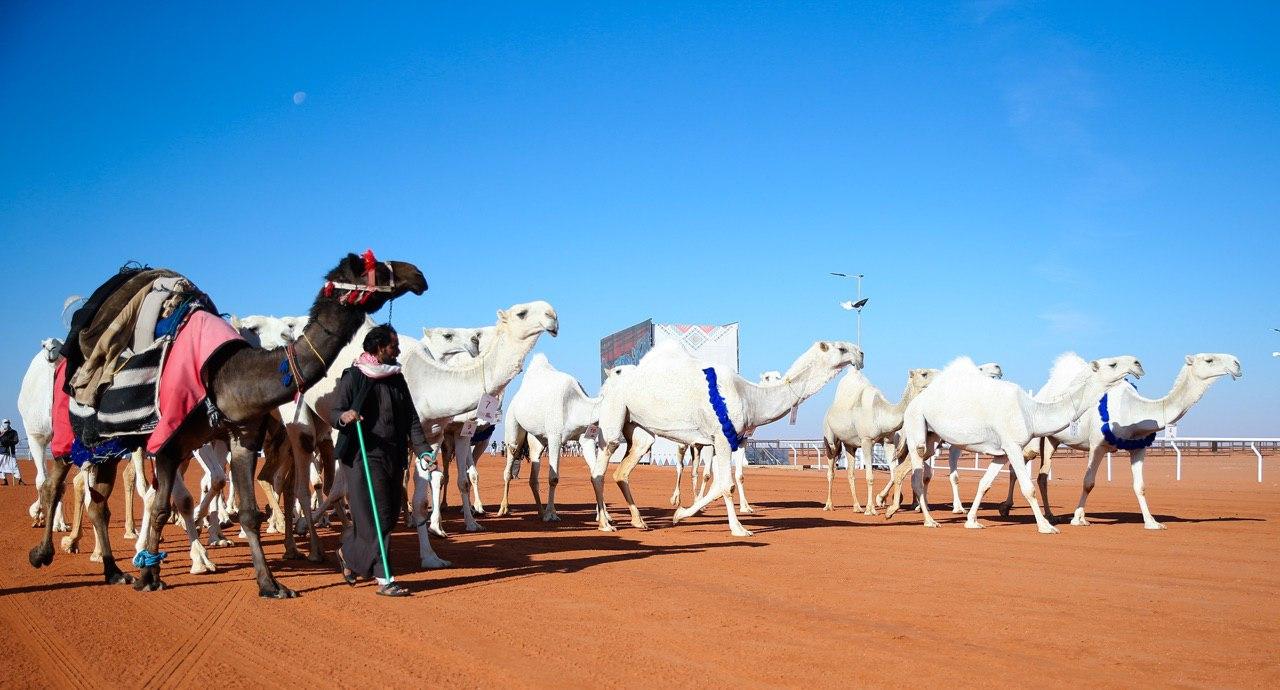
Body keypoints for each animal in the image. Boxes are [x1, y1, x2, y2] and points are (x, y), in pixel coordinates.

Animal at [28, 253, 430, 599]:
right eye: (369, 265)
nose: (417, 274)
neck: (227, 377)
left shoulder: (243, 435)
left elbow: (249, 512)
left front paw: (270, 585)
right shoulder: (170, 443)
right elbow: (161, 508)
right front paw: (150, 576)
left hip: (110, 443)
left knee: (98, 500)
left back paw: (113, 571)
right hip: (76, 432)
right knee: (55, 481)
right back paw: (44, 553)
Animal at [596, 340, 865, 540]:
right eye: (841, 348)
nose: (861, 353)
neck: (749, 396)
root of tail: (608, 382)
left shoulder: (723, 440)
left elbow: (721, 483)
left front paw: (679, 514)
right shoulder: (721, 438)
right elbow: (725, 485)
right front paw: (739, 529)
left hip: (639, 430)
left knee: (622, 471)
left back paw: (638, 521)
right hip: (614, 418)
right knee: (600, 469)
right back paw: (606, 523)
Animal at [819, 368, 942, 514]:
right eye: (924, 374)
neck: (881, 414)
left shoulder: (888, 441)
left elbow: (894, 473)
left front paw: (881, 499)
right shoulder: (866, 441)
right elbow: (870, 476)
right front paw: (871, 509)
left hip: (849, 444)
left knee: (850, 473)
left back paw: (857, 506)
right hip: (831, 439)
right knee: (831, 471)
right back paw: (829, 505)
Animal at [890, 355, 1152, 535]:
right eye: (1113, 364)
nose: (1138, 363)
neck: (1031, 411)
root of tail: (912, 405)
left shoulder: (1002, 452)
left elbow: (984, 484)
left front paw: (972, 521)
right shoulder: (1014, 446)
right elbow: (1029, 488)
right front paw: (1046, 526)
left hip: (933, 436)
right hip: (917, 428)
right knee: (916, 473)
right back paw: (927, 520)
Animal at [993, 353, 1244, 532]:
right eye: (1209, 359)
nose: (1237, 363)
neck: (1134, 409)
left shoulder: (1139, 447)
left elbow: (1140, 485)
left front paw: (1152, 522)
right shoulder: (1098, 445)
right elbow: (1088, 482)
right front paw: (1078, 518)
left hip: (1053, 440)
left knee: (1043, 475)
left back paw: (1051, 515)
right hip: (1039, 439)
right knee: (1019, 465)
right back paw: (1006, 508)